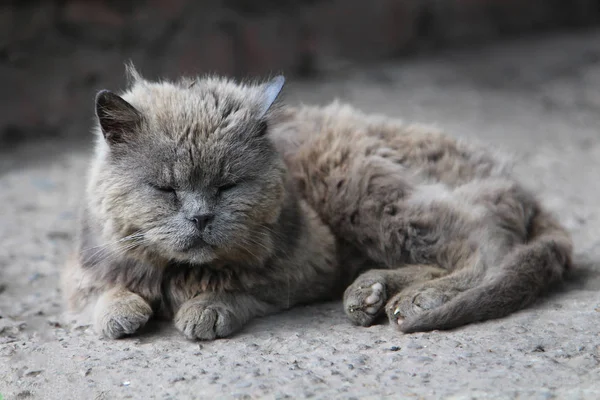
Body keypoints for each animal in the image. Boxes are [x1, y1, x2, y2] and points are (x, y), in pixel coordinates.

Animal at [63, 66, 576, 340]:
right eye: (166, 189)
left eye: (228, 186)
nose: (201, 217)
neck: (178, 271)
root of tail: (512, 179)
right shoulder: (83, 268)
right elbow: (101, 292)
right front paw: (121, 310)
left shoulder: (310, 262)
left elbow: (248, 288)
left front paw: (208, 307)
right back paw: (371, 294)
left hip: (359, 183)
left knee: (487, 248)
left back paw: (414, 302)